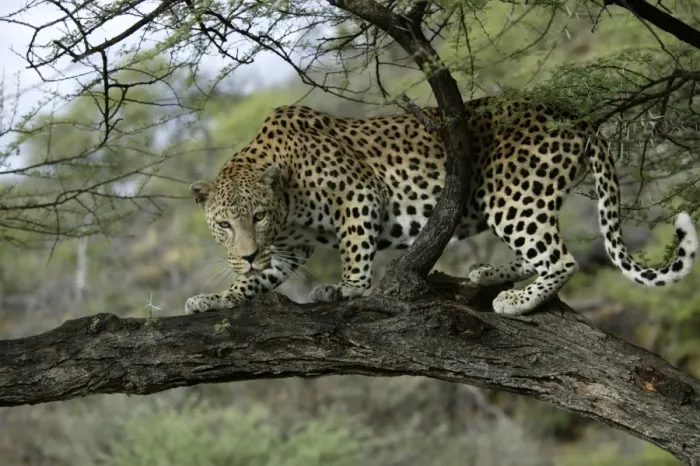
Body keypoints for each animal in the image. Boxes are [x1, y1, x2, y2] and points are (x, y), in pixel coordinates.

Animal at [185, 96, 698, 316]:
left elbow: (355, 249)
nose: (247, 251)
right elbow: (255, 280)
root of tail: (574, 114)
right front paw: (217, 297)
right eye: (224, 225)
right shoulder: (288, 248)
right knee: (538, 252)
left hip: (511, 195)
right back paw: (490, 274)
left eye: (258, 216)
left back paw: (517, 301)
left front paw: (348, 289)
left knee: (560, 259)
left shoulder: (358, 196)